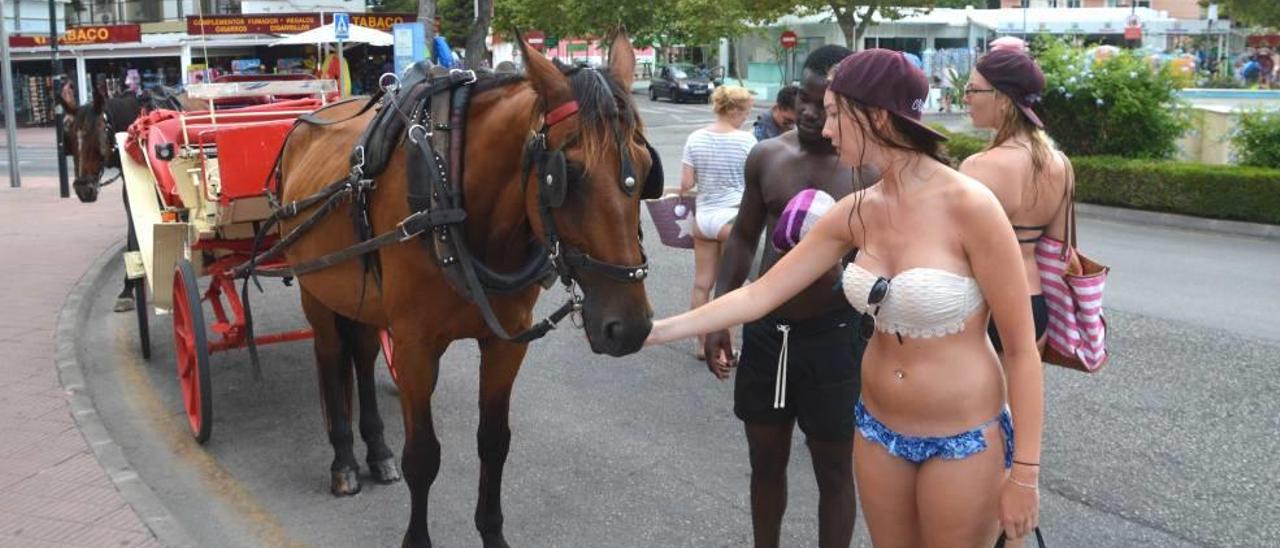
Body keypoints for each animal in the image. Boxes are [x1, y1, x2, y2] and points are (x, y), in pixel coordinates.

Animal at [282, 32, 660, 545]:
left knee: (360, 353)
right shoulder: (415, 346)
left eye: (645, 169)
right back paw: (343, 461)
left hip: (362, 297)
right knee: (329, 355)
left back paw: (376, 452)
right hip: (316, 291)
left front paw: (492, 532)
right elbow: (423, 456)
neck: (450, 193)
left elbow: (494, 443)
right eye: (568, 175)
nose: (630, 327)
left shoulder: (506, 344)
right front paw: (417, 538)